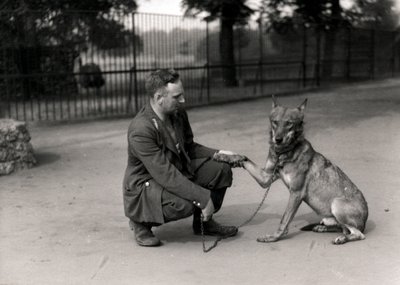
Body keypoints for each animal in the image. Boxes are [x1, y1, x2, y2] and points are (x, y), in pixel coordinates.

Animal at [241, 96, 368, 243]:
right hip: (329, 217)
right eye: (275, 122)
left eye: (289, 124)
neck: (284, 154)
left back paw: (341, 239)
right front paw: (228, 157)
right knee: (342, 228)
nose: (278, 139)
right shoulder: (265, 178)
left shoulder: (296, 193)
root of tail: (365, 222)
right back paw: (323, 228)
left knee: (358, 234)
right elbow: (244, 159)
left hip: (336, 204)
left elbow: (284, 220)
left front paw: (274, 237)